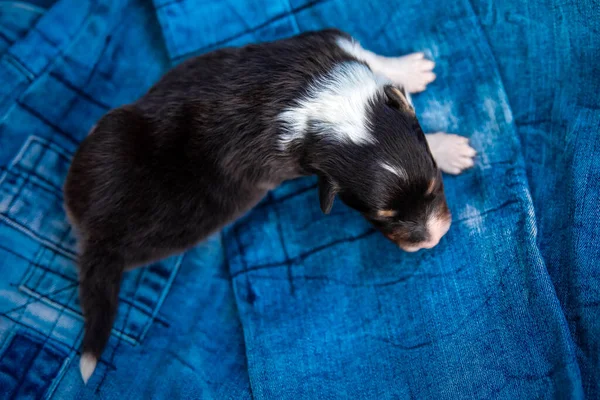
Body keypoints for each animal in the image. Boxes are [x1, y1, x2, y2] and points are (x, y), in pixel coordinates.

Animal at [64, 28, 478, 384]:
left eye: (434, 188)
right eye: (379, 217)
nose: (430, 241)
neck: (325, 109)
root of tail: (95, 235)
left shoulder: (329, 42)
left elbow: (372, 59)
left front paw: (411, 71)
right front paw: (445, 145)